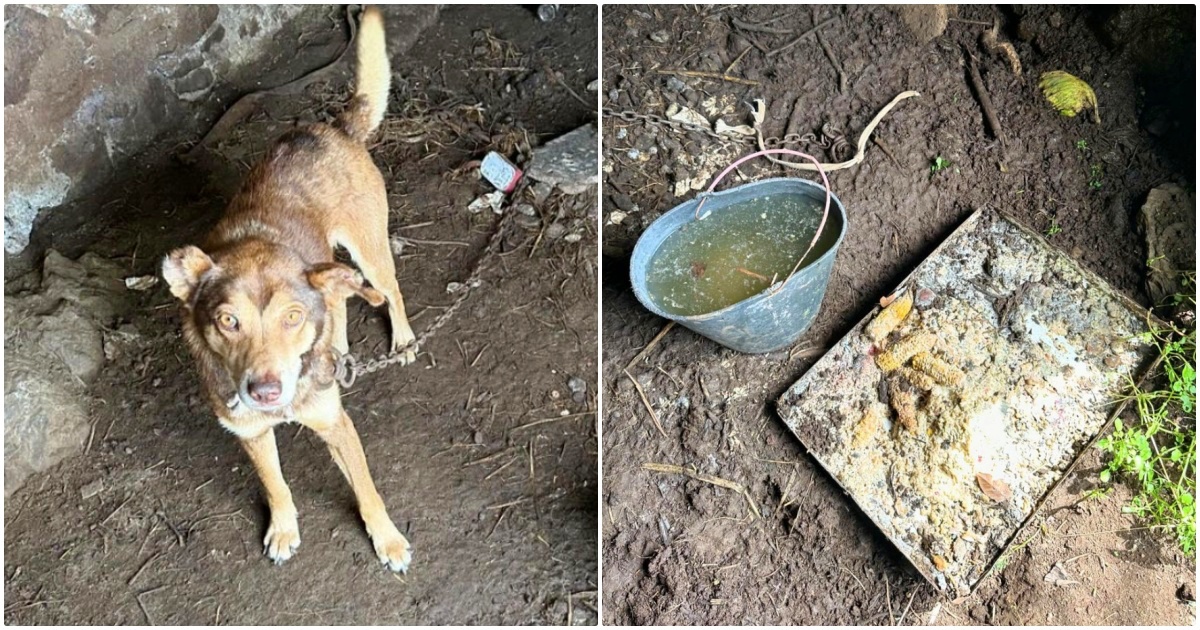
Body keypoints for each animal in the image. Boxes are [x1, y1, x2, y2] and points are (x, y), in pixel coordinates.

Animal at [162, 7, 412, 571]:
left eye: (292, 318)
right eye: (227, 321)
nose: (266, 391)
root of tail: (332, 127)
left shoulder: (337, 426)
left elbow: (368, 490)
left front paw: (387, 540)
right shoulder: (249, 433)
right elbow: (275, 485)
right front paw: (282, 530)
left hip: (369, 249)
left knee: (388, 290)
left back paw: (404, 340)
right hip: (330, 261)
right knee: (339, 296)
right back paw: (337, 347)